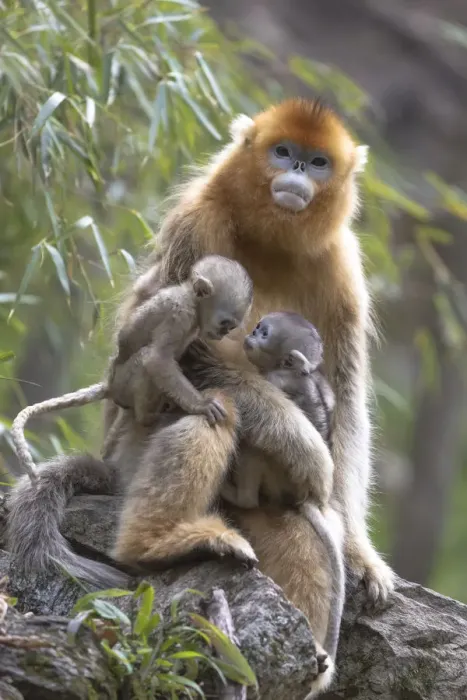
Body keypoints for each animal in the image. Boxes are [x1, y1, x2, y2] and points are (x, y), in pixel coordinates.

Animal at [9, 255, 253, 483]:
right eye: (224, 324)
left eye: (230, 327)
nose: (223, 334)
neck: (191, 299)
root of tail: (110, 384)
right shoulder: (180, 313)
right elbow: (157, 360)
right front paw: (202, 405)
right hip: (124, 384)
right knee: (144, 362)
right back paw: (147, 416)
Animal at [220, 311, 344, 663]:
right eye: (258, 327)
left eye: (265, 334)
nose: (251, 333)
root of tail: (305, 497)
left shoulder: (276, 379)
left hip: (277, 474)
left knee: (257, 446)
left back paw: (240, 496)